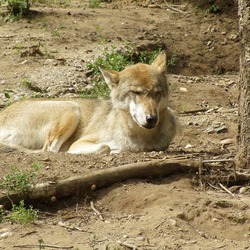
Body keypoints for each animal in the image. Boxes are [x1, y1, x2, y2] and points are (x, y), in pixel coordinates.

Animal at [0, 52, 178, 154]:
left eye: (157, 93)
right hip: (72, 108)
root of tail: (3, 112)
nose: (151, 119)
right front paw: (115, 150)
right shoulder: (80, 143)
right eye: (136, 93)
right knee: (50, 150)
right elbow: (105, 147)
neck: (140, 138)